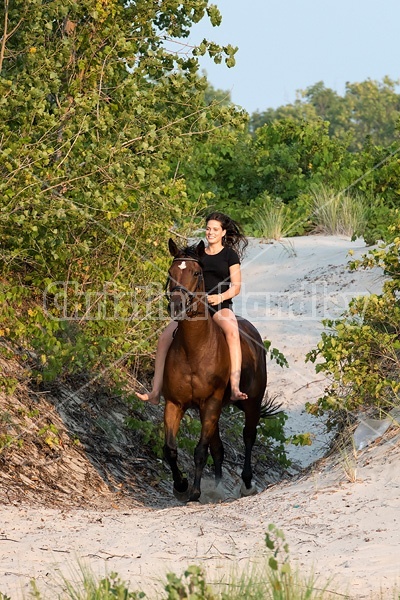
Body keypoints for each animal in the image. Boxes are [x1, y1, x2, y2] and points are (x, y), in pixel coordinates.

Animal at [162, 239, 272, 502]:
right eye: (171, 272)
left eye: (196, 273)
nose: (177, 306)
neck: (194, 349)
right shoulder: (175, 403)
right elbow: (170, 449)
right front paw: (181, 485)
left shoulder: (210, 402)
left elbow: (200, 451)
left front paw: (194, 491)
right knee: (219, 447)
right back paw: (219, 484)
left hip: (251, 402)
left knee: (248, 436)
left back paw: (246, 483)